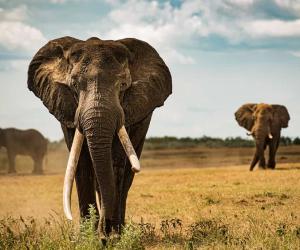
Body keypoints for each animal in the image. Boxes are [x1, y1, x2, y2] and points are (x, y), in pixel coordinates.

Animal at [27, 36, 172, 239]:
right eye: (74, 86)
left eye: (123, 86)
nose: (104, 234)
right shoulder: (68, 110)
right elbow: (80, 162)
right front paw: (88, 237)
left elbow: (116, 162)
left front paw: (111, 237)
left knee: (126, 178)